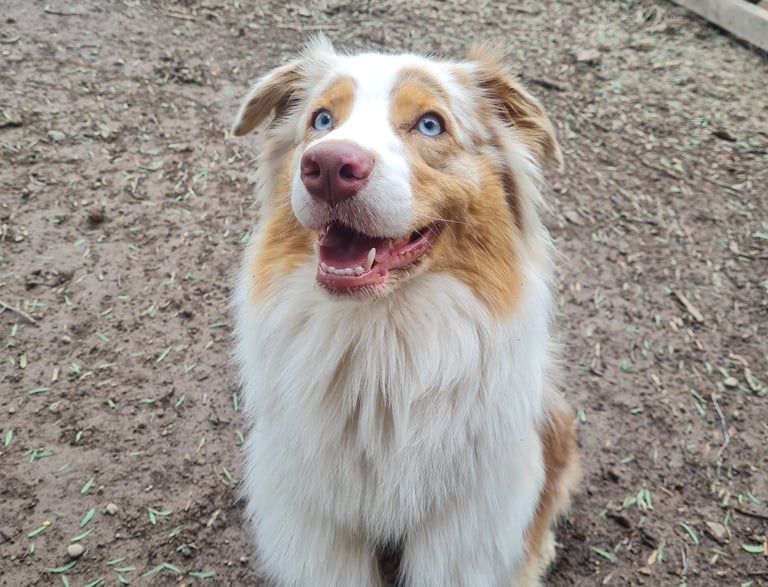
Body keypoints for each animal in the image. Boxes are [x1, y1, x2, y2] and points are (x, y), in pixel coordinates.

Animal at [231, 37, 579, 587]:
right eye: (321, 119)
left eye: (431, 124)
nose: (327, 167)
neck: (383, 342)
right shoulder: (321, 526)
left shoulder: (464, 531)